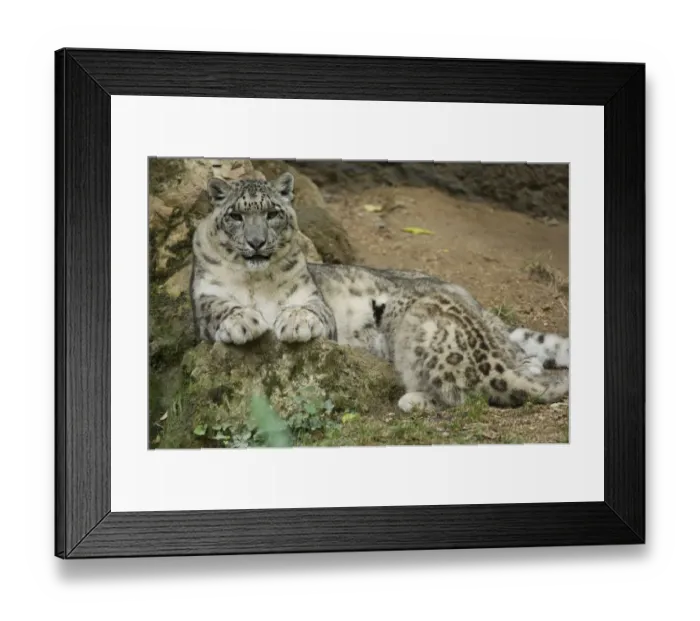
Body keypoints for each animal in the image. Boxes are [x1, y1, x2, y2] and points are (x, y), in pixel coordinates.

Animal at [190, 172, 569, 413]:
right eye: (236, 216)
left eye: (272, 214)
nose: (256, 243)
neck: (256, 281)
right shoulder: (203, 300)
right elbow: (219, 308)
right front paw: (242, 322)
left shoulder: (312, 297)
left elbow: (308, 309)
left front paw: (294, 323)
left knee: (519, 358)